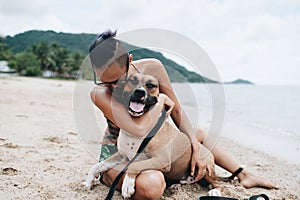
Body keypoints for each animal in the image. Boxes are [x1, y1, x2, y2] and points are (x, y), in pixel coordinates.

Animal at [85, 72, 221, 198]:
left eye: (151, 85)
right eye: (132, 80)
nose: (140, 92)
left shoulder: (161, 159)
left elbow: (134, 165)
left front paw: (128, 184)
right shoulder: (121, 155)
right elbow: (99, 165)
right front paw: (90, 179)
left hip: (207, 168)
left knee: (217, 183)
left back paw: (215, 191)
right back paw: (177, 185)